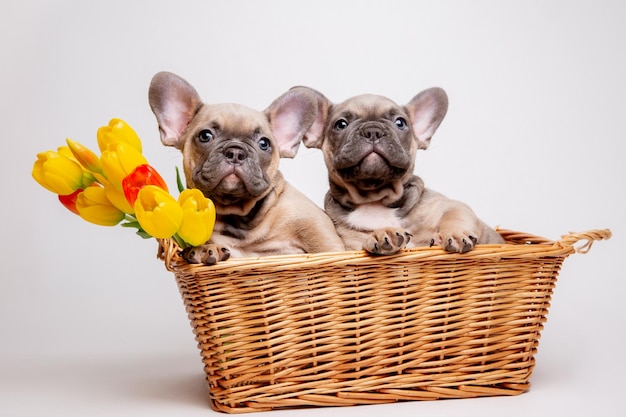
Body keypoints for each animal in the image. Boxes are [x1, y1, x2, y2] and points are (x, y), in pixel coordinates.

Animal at [149, 71, 344, 264]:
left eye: (264, 143)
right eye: (205, 136)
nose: (236, 151)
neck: (239, 218)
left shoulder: (318, 232)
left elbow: (327, 250)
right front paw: (205, 251)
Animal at [298, 87, 502, 254]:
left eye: (400, 123)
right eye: (340, 124)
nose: (373, 131)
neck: (375, 199)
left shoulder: (450, 205)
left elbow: (455, 215)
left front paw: (455, 233)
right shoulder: (350, 245)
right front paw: (383, 234)